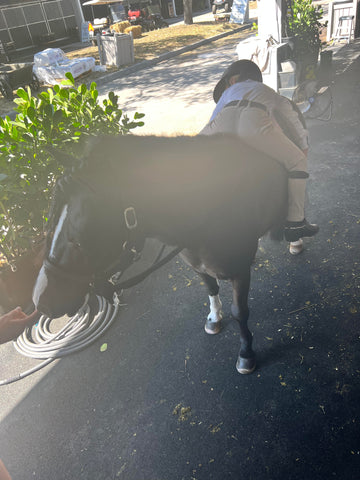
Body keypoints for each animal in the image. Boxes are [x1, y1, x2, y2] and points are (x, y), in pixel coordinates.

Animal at [33, 135, 286, 376]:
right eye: (50, 222)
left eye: (80, 236)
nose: (40, 301)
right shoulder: (198, 266)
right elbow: (211, 288)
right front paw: (214, 318)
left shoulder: (240, 272)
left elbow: (240, 312)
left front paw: (246, 353)